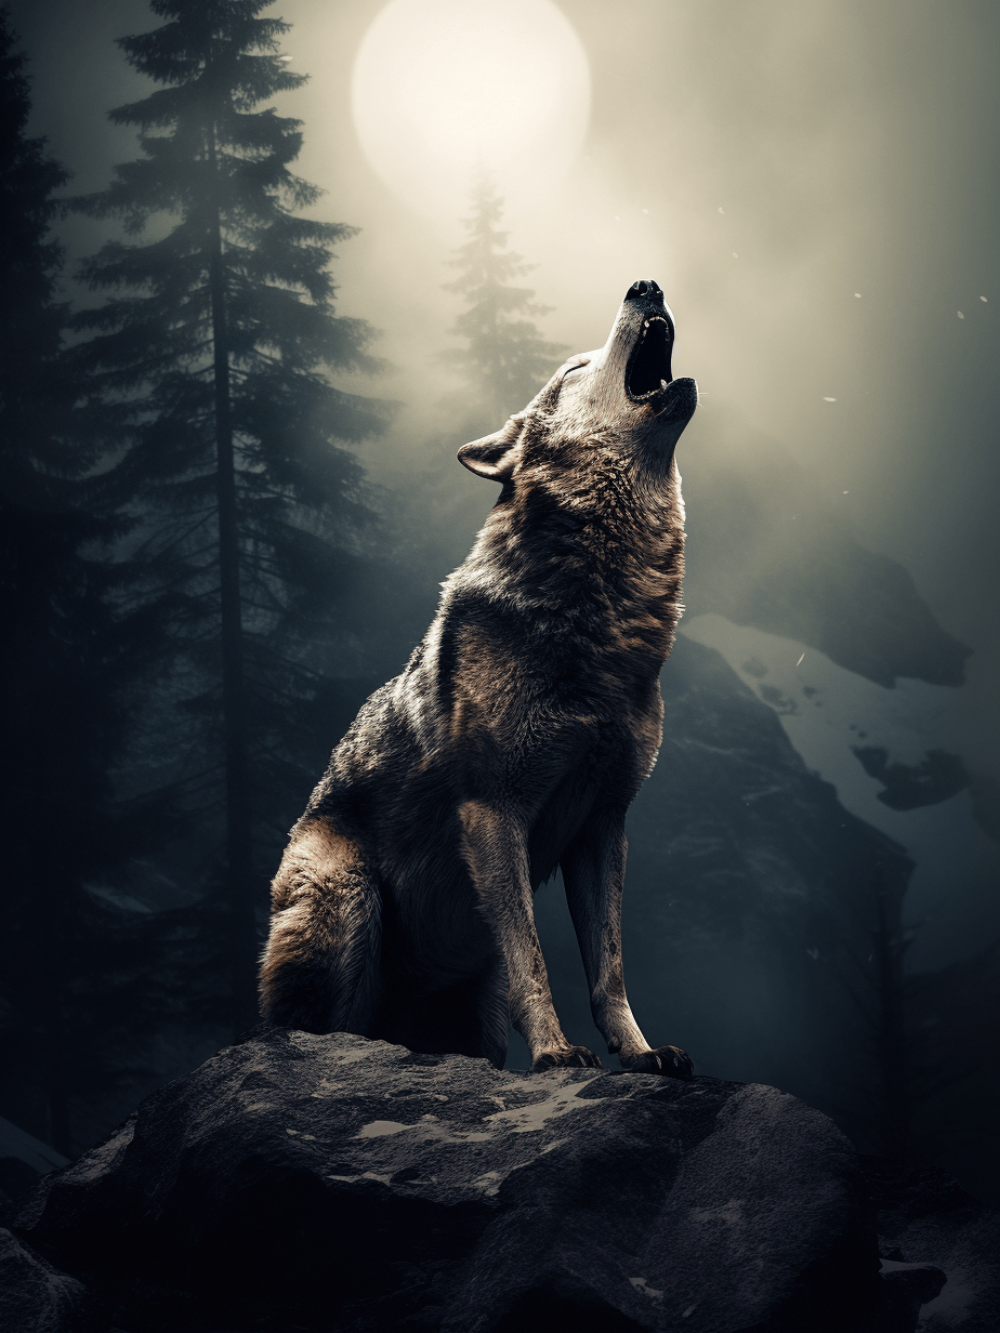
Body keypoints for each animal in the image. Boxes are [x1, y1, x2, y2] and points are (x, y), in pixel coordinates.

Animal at [259, 279, 698, 1076]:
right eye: (575, 368)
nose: (645, 284)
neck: (603, 613)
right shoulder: (494, 811)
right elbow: (534, 958)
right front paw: (556, 1052)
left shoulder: (604, 823)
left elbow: (609, 970)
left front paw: (641, 1053)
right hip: (349, 899)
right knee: (317, 1032)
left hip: (474, 1003)